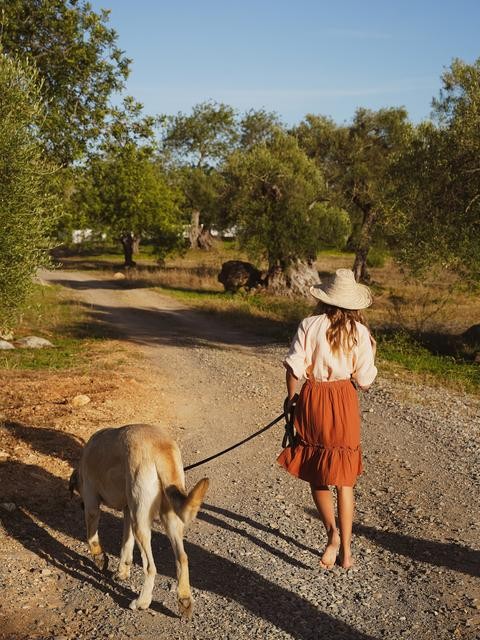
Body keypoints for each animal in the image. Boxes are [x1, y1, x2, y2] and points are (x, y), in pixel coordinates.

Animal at [69, 422, 208, 616]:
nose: (80, 505)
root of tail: (161, 446)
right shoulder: (129, 512)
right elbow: (126, 545)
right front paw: (123, 570)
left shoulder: (92, 505)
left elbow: (92, 537)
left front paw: (99, 558)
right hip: (165, 518)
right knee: (182, 558)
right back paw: (184, 599)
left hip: (140, 524)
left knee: (150, 567)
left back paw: (143, 601)